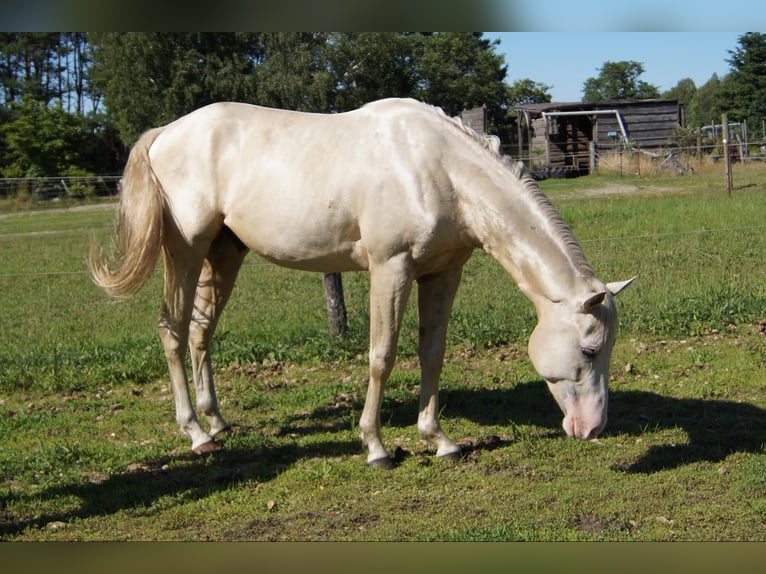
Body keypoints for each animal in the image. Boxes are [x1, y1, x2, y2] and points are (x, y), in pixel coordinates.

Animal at [90, 98, 636, 468]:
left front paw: (439, 440)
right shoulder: (390, 269)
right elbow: (382, 355)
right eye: (589, 350)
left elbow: (432, 352)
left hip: (224, 253)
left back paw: (217, 422)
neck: (439, 169)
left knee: (201, 332)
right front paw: (375, 446)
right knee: (173, 330)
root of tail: (167, 132)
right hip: (186, 249)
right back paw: (195, 433)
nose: (593, 428)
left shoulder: (442, 272)